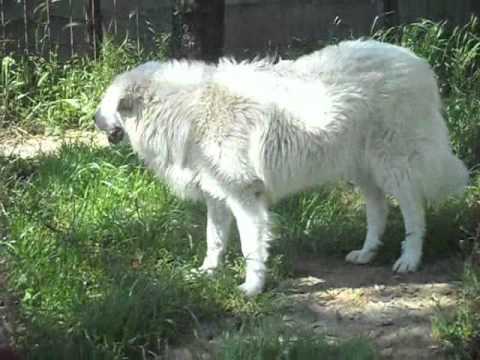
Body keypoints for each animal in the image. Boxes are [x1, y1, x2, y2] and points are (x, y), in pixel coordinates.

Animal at [95, 40, 466, 296]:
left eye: (105, 105)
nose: (93, 119)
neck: (186, 110)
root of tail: (417, 62)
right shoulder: (218, 197)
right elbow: (214, 240)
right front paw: (208, 272)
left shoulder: (245, 197)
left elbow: (250, 248)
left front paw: (251, 289)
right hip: (362, 169)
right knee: (378, 209)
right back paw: (366, 252)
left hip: (393, 165)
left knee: (413, 211)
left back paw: (409, 259)